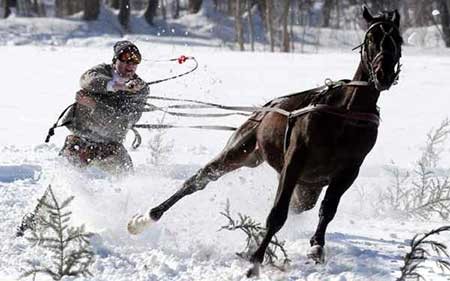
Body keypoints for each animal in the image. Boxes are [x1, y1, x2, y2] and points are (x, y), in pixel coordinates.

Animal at [127, 6, 404, 276]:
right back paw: (145, 219)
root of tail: (264, 109)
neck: (346, 114)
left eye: (398, 40)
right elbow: (278, 214)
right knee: (199, 179)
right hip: (242, 151)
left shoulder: (348, 171)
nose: (384, 74)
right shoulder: (295, 161)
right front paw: (255, 261)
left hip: (306, 186)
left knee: (300, 205)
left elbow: (327, 210)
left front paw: (316, 247)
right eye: (372, 38)